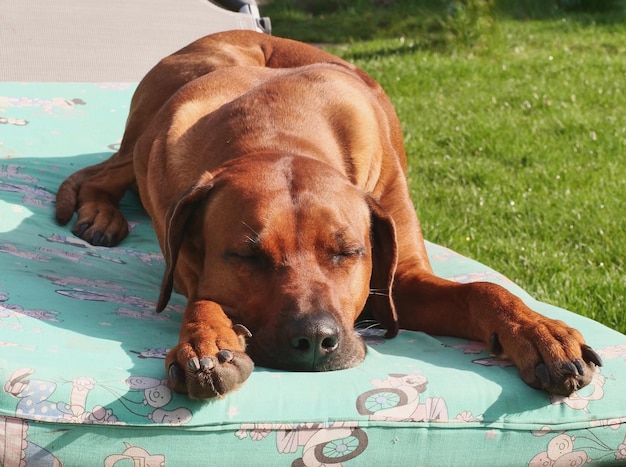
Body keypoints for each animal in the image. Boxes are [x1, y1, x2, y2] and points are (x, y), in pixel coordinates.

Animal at [56, 29, 596, 398]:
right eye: (246, 257)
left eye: (348, 252)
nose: (315, 340)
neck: (275, 130)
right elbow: (201, 299)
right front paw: (206, 342)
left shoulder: (398, 283)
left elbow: (482, 289)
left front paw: (540, 331)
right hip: (152, 127)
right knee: (99, 170)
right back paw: (99, 213)